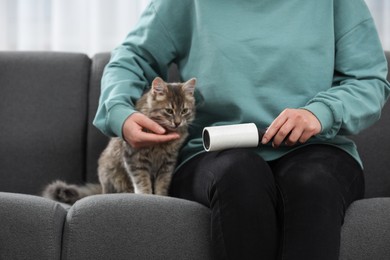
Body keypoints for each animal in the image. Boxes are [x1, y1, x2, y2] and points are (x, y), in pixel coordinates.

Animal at [42, 76, 198, 204]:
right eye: (169, 111)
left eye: (184, 111)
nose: (177, 123)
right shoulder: (134, 157)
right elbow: (142, 181)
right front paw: (146, 196)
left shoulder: (168, 162)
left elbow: (162, 184)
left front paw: (161, 197)